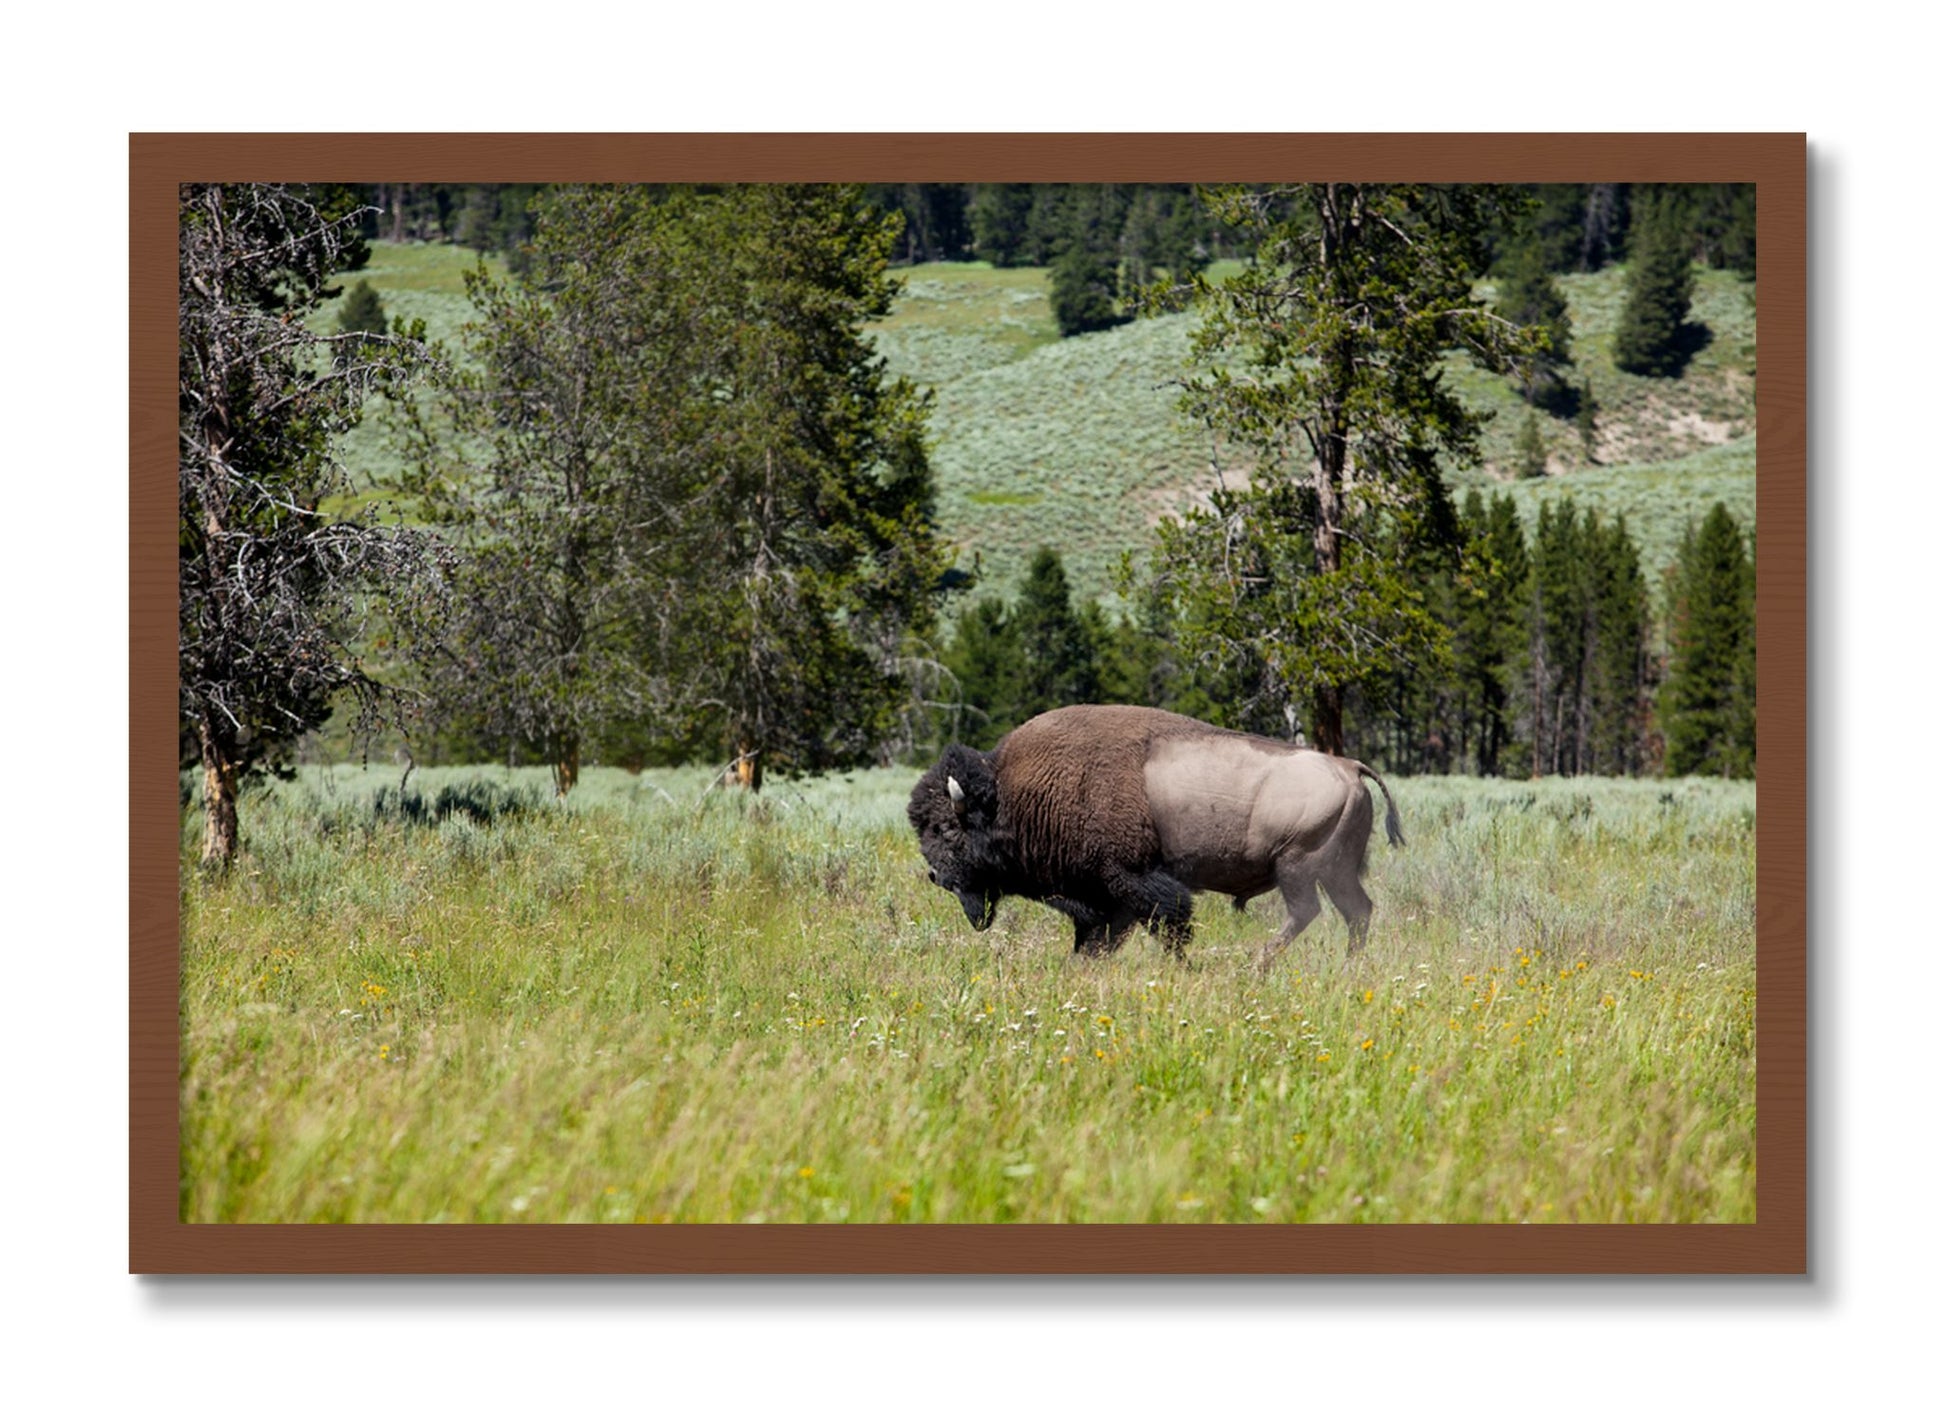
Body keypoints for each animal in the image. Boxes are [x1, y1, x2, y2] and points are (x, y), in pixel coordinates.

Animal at [908, 704, 1403, 968]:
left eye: (945, 828)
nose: (936, 876)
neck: (1011, 794)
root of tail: (1349, 766)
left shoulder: (1133, 880)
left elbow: (1169, 925)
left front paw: (1184, 966)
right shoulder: (1105, 898)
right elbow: (1099, 938)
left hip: (1297, 866)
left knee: (1307, 912)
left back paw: (1256, 964)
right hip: (1335, 871)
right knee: (1357, 911)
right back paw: (1347, 965)